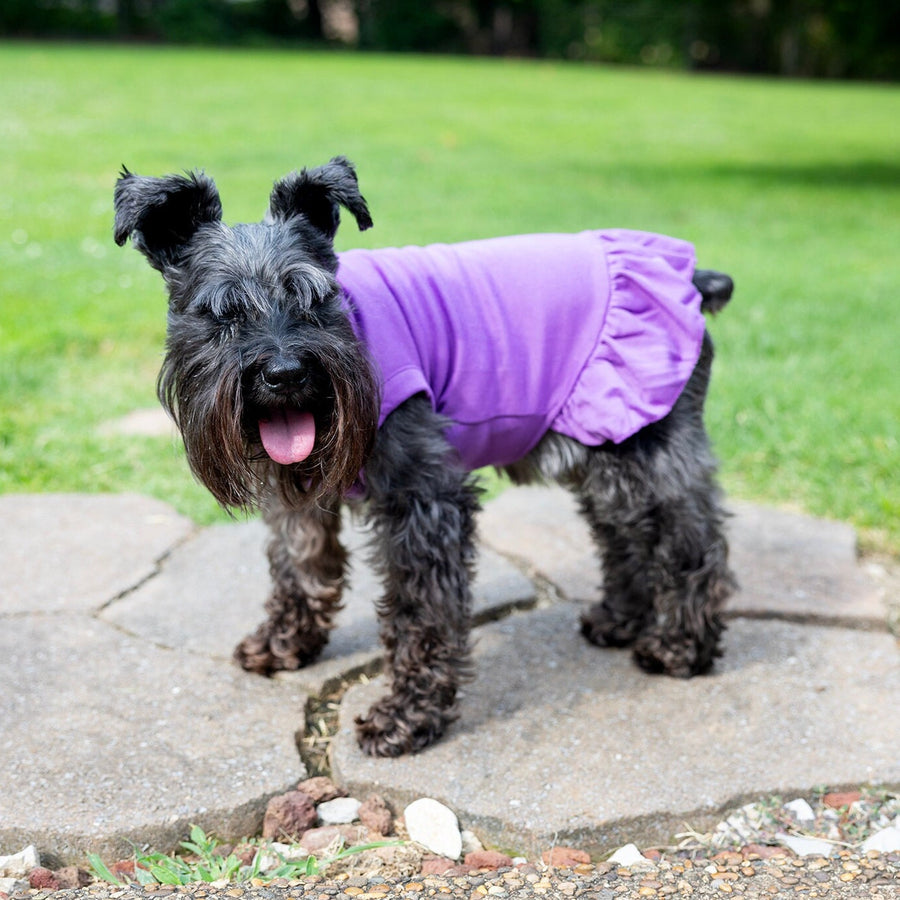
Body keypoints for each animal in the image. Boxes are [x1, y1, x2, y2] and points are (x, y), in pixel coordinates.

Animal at [114, 158, 732, 756]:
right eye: (223, 313)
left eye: (316, 300)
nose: (285, 375)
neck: (357, 327)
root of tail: (691, 277)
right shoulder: (297, 497)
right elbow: (300, 565)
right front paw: (285, 643)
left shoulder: (423, 501)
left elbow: (421, 614)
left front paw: (408, 717)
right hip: (605, 450)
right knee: (624, 533)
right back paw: (621, 620)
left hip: (647, 447)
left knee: (691, 542)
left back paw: (680, 646)